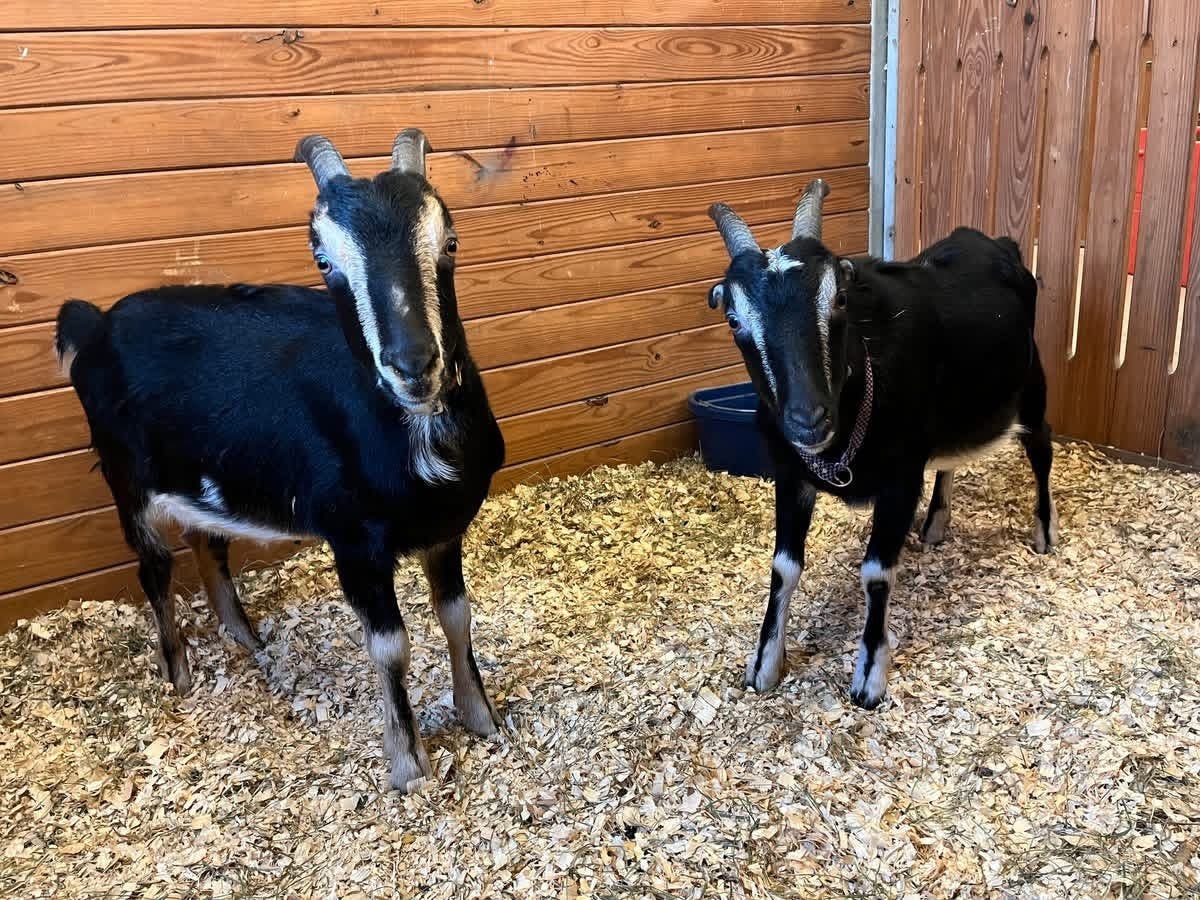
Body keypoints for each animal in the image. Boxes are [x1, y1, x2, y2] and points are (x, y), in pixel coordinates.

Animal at [55, 130, 505, 791]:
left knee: (206, 541)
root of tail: (93, 324)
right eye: (323, 260)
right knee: (153, 567)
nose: (412, 365)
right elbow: (390, 646)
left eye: (449, 243)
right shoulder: (355, 540)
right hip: (125, 476)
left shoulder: (445, 531)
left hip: (202, 477)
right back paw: (179, 674)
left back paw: (246, 639)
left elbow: (457, 616)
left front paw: (482, 718)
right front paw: (408, 765)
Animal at [706, 180, 1056, 709]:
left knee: (1042, 449)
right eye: (733, 319)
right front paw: (764, 664)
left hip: (1030, 383)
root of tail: (995, 241)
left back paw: (1044, 533)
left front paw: (869, 677)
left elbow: (875, 572)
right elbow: (784, 566)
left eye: (839, 300)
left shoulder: (900, 478)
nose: (808, 419)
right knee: (950, 457)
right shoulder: (790, 474)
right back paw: (935, 524)